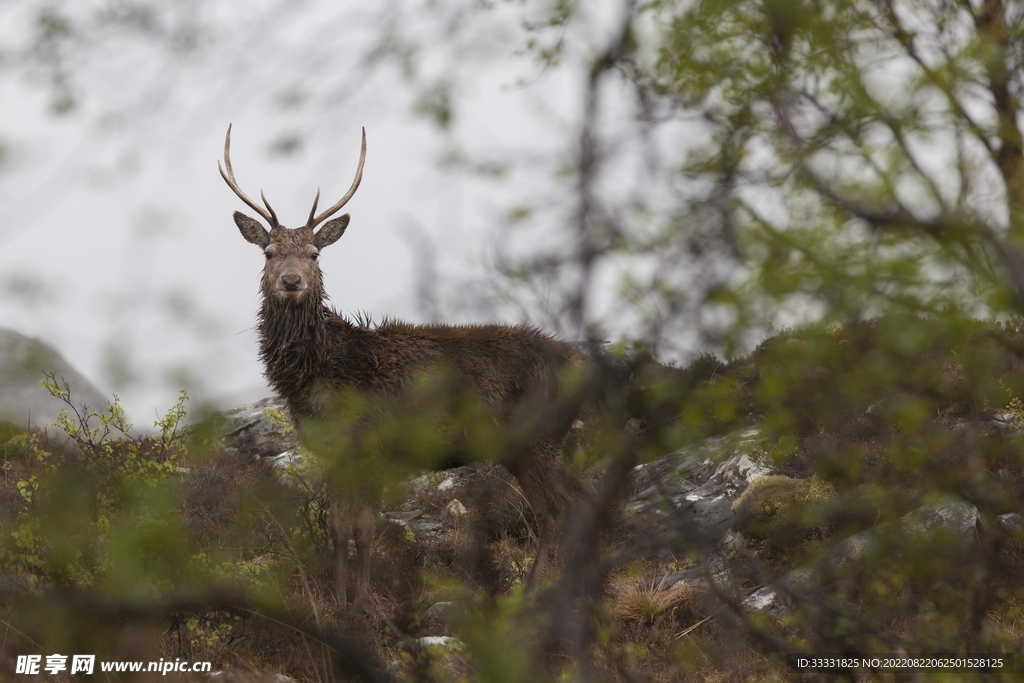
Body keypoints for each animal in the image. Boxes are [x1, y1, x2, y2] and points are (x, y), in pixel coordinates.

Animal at [218, 125, 589, 607]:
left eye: (315, 253)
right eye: (268, 251)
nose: (291, 281)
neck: (320, 375)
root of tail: (582, 365)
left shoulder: (374, 444)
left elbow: (363, 529)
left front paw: (361, 603)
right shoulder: (333, 451)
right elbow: (337, 529)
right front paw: (338, 600)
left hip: (536, 438)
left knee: (558, 510)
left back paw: (534, 595)